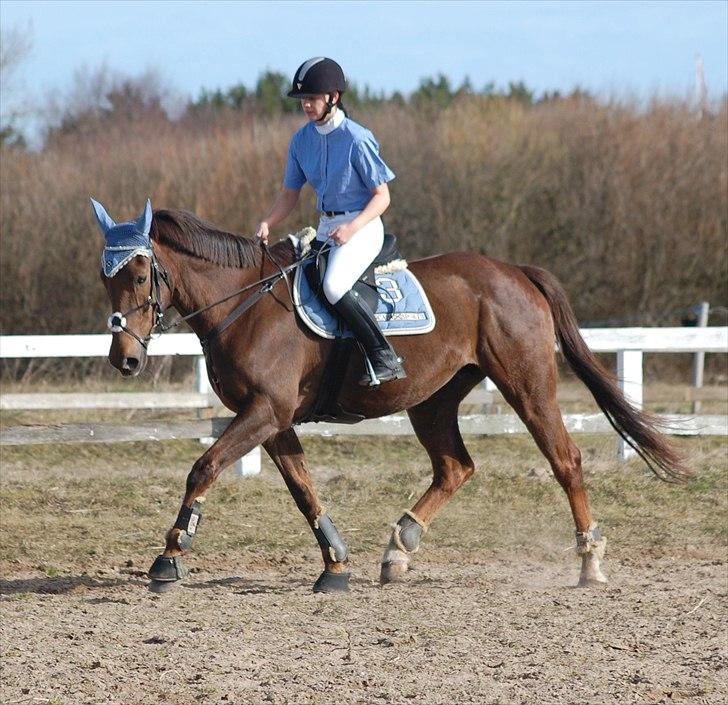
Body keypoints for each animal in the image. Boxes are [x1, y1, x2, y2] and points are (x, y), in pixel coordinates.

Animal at [99, 206, 684, 592]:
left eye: (141, 274)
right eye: (106, 280)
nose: (124, 360)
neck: (246, 303)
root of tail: (515, 271)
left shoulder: (265, 411)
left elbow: (204, 467)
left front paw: (170, 556)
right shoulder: (274, 418)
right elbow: (303, 489)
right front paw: (335, 566)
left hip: (527, 384)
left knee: (565, 460)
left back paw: (589, 561)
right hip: (432, 399)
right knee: (455, 467)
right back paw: (399, 548)